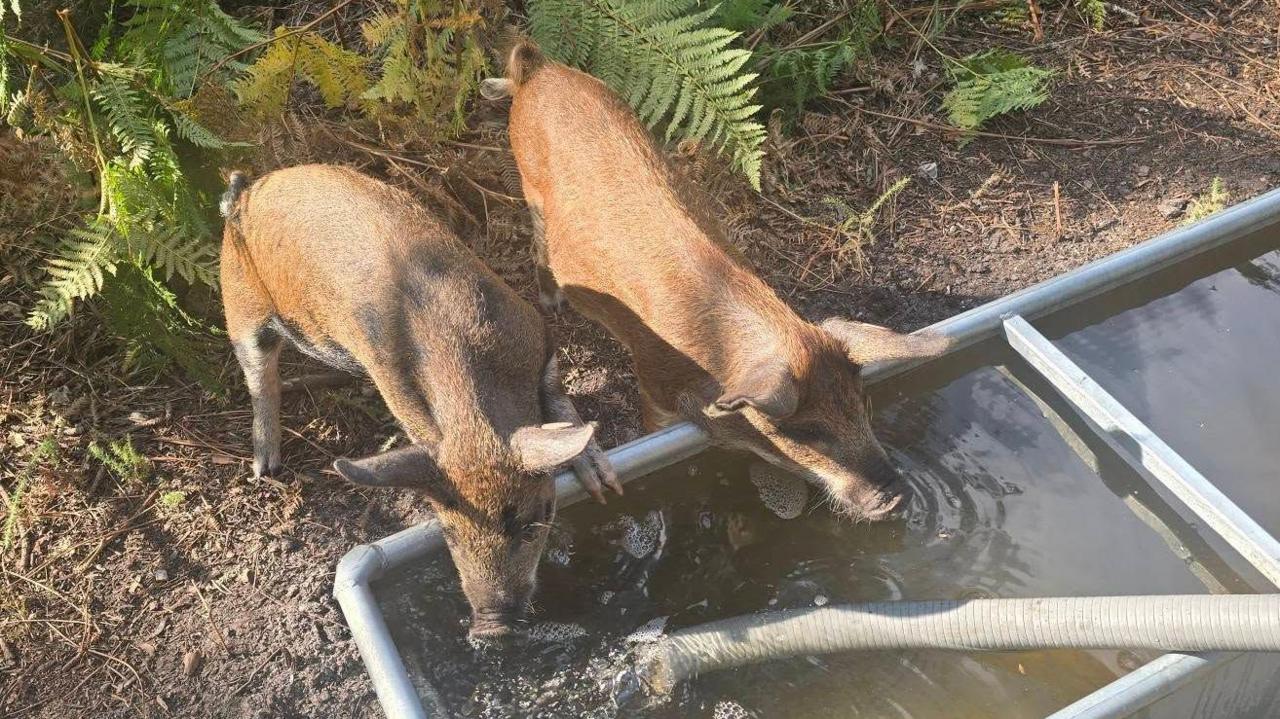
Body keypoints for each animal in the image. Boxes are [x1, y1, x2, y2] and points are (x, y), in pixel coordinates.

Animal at [218, 164, 619, 640]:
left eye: (533, 522)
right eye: (449, 531)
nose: (491, 629)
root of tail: (248, 191)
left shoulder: (538, 337)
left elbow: (559, 403)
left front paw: (605, 484)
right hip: (239, 303)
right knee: (260, 376)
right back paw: (265, 469)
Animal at [483, 43, 949, 521]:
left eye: (861, 404)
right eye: (806, 431)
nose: (896, 496)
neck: (718, 353)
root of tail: (540, 69)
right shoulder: (653, 383)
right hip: (530, 186)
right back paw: (552, 302)